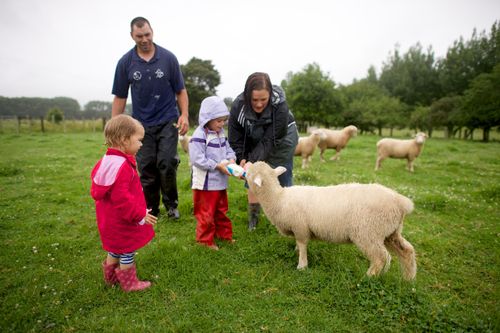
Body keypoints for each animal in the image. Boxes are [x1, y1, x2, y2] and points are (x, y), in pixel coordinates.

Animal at [244, 161, 416, 280]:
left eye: (251, 172)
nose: (246, 164)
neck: (279, 198)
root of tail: (400, 202)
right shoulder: (298, 229)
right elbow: (299, 245)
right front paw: (297, 253)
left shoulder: (301, 227)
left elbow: (303, 245)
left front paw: (302, 265)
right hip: (390, 232)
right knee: (407, 251)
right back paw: (408, 279)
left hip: (368, 232)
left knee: (381, 257)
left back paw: (367, 278)